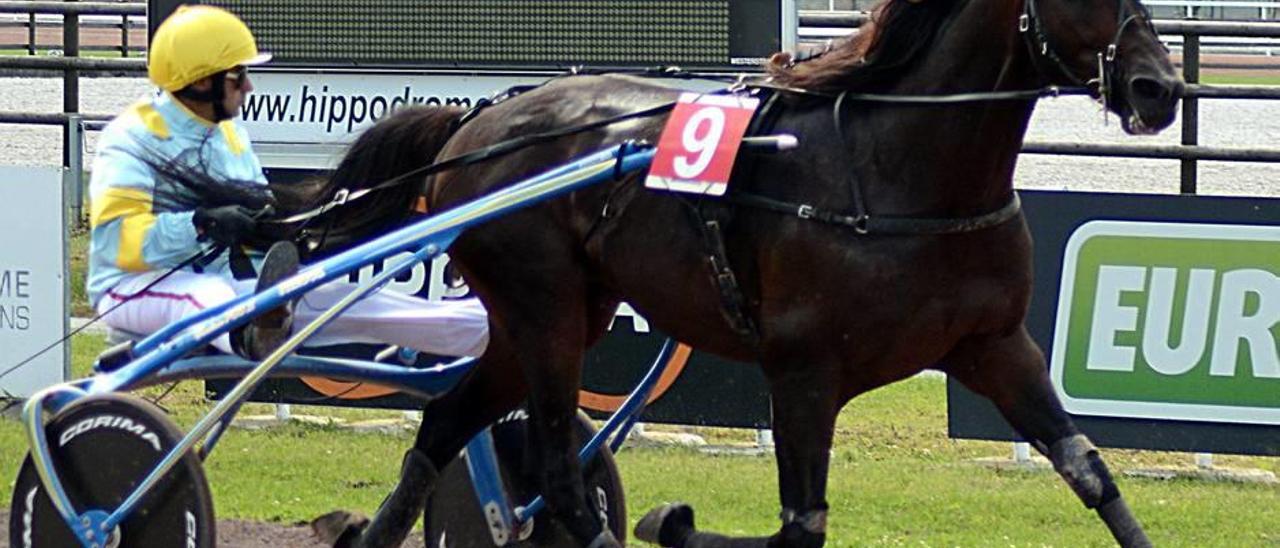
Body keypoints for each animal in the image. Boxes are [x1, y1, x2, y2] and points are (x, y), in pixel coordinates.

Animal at [307, 0, 1177, 542]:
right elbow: (800, 527)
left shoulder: (995, 346)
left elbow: (1093, 475)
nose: (1159, 86)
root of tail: (474, 120)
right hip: (543, 309)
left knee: (446, 424)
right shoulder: (803, 373)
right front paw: (676, 524)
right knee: (557, 475)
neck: (897, 169)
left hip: (548, 321)